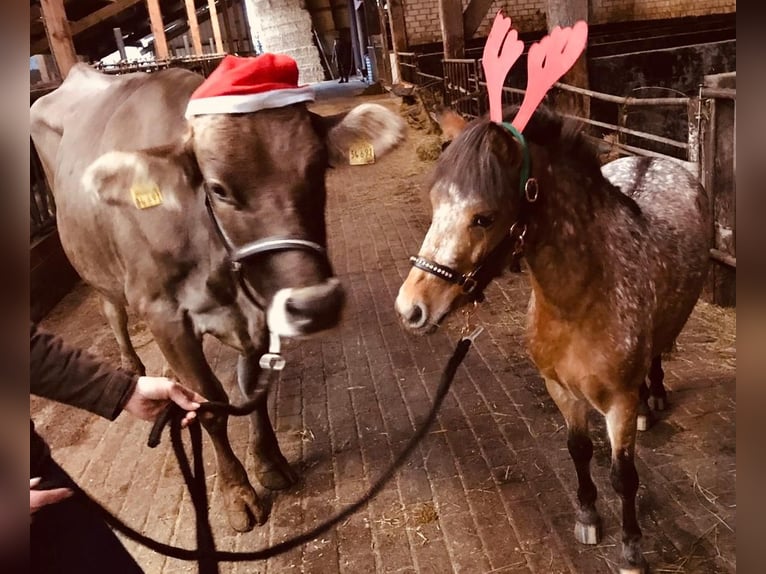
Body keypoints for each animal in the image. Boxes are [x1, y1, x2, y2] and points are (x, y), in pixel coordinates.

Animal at [394, 105, 711, 573]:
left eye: (484, 217)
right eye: (434, 205)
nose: (411, 308)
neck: (580, 301)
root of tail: (655, 160)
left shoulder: (617, 403)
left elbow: (624, 476)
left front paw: (631, 548)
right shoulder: (560, 389)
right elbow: (578, 450)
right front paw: (587, 517)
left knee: (658, 349)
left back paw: (652, 397)